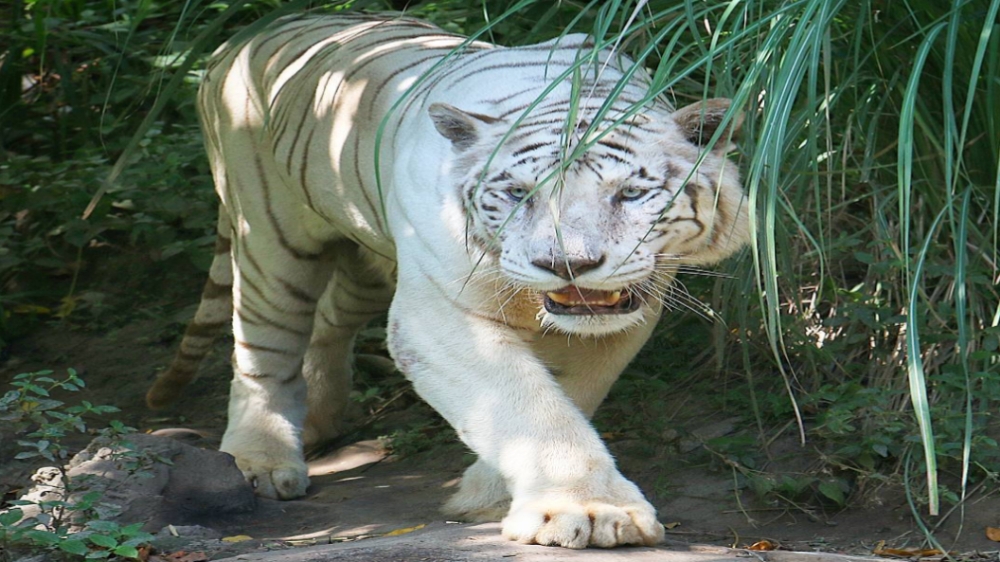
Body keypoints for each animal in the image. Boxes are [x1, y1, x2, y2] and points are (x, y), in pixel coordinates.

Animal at [145, 13, 748, 548]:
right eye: (518, 194)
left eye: (629, 194)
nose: (566, 265)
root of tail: (240, 40)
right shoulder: (436, 314)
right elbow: (528, 405)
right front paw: (590, 511)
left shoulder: (624, 316)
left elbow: (566, 396)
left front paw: (488, 493)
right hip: (269, 234)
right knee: (264, 348)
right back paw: (260, 461)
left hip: (368, 255)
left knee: (329, 322)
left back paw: (318, 420)